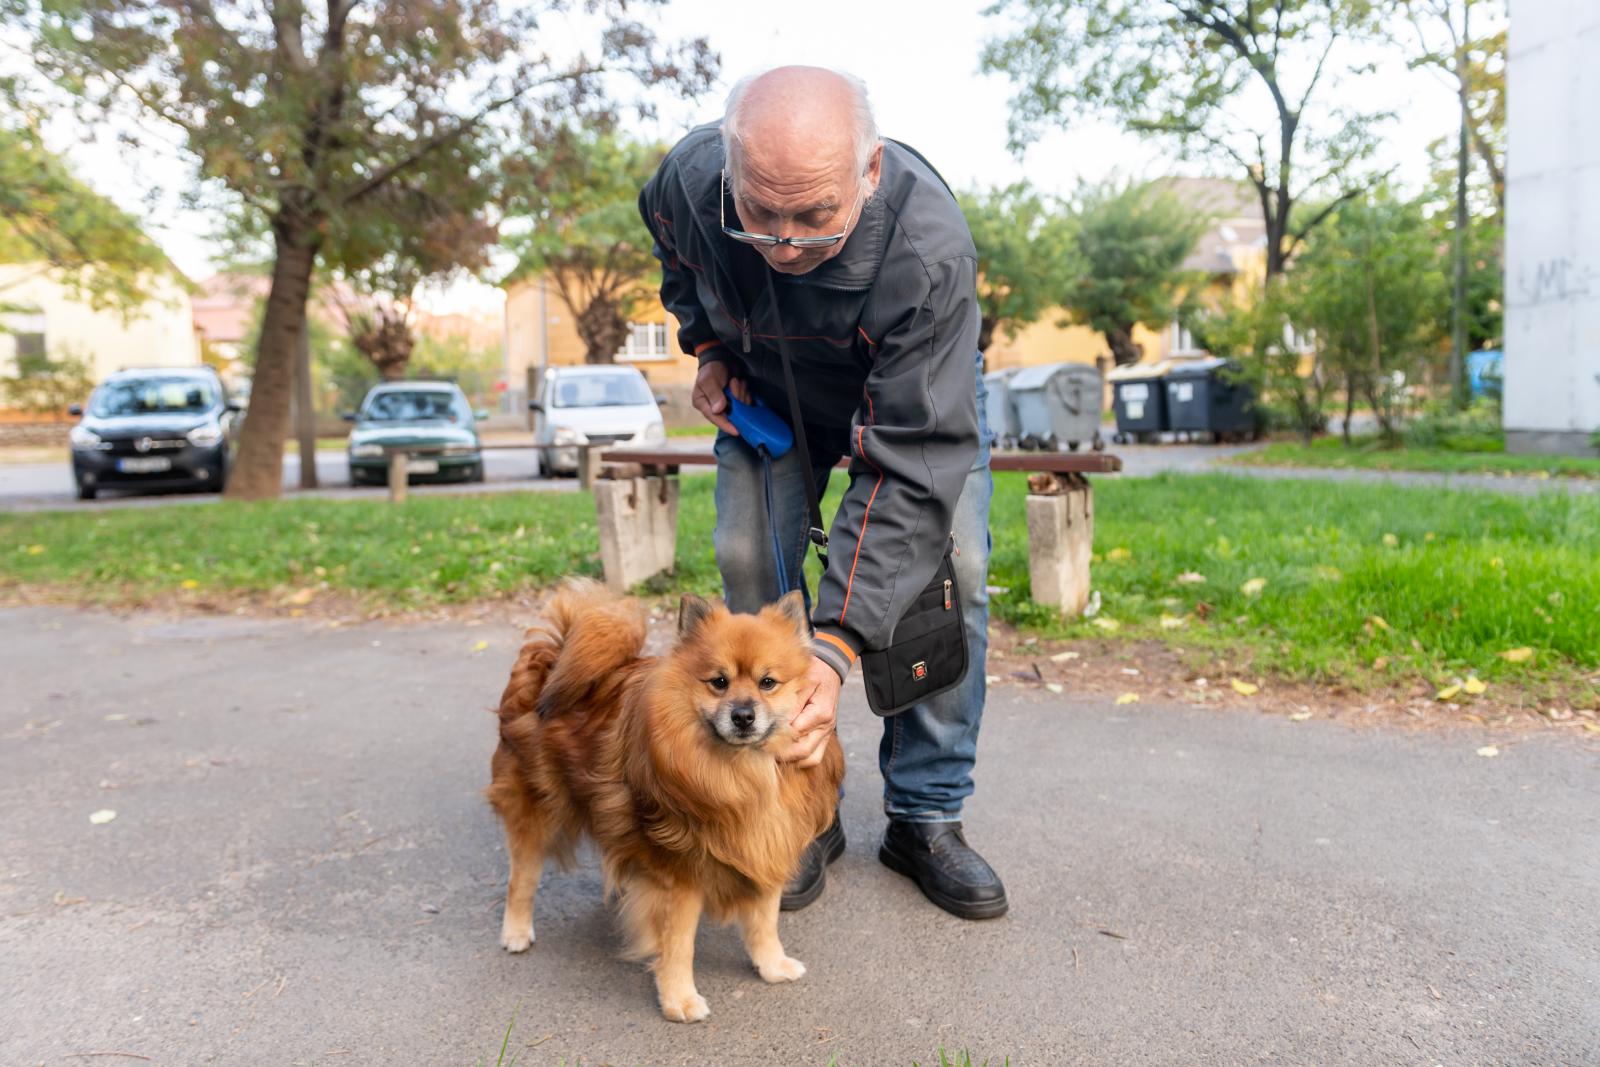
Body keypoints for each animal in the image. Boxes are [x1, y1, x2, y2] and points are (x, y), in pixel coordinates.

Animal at [483, 579, 838, 1023]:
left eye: (768, 683)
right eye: (718, 682)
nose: (743, 715)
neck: (741, 774)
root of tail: (550, 658)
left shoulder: (766, 843)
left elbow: (764, 920)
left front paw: (771, 965)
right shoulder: (680, 875)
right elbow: (678, 944)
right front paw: (678, 999)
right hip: (537, 811)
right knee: (522, 876)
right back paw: (515, 931)